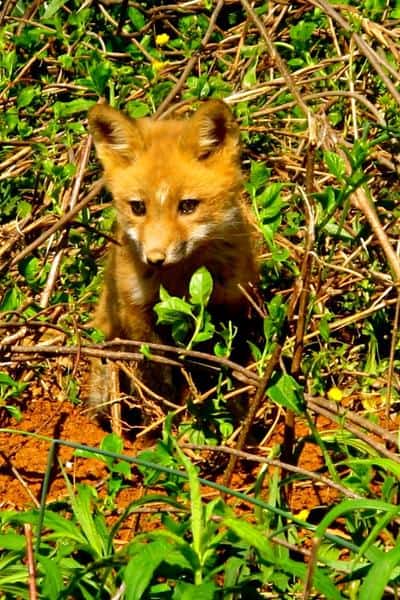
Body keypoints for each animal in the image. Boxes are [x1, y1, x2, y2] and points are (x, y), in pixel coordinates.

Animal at [86, 99, 260, 418]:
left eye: (188, 206)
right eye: (138, 207)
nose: (155, 258)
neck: (180, 281)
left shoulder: (231, 308)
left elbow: (226, 371)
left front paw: (236, 417)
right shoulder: (139, 315)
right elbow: (157, 378)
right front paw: (161, 423)